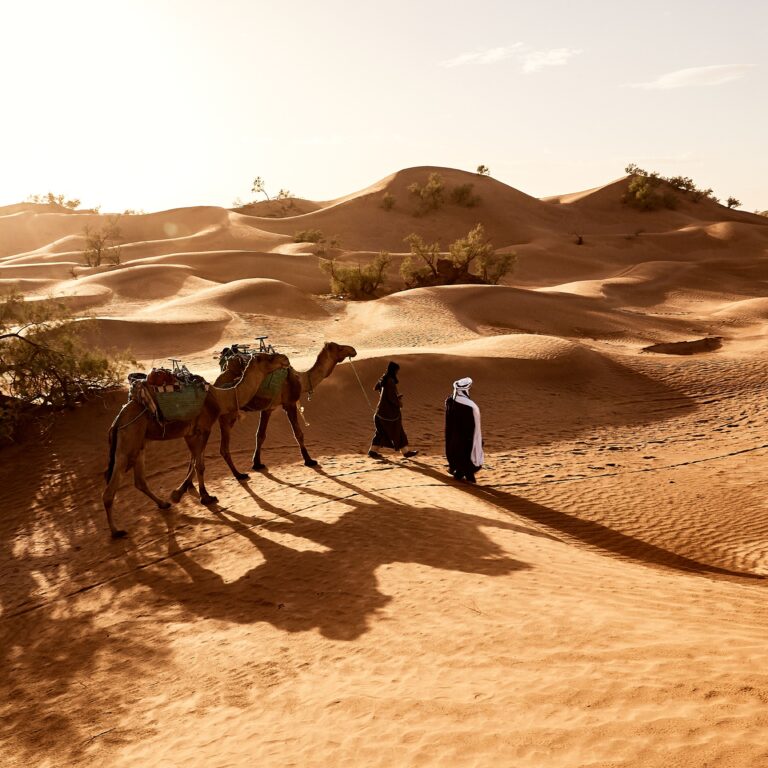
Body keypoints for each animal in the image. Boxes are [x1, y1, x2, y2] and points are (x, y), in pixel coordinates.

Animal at [103, 351, 290, 538]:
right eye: (268, 358)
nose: (285, 359)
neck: (219, 398)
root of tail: (117, 421)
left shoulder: (190, 433)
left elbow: (193, 460)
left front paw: (180, 492)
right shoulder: (203, 428)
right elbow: (200, 465)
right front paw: (205, 497)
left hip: (139, 443)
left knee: (140, 480)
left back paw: (163, 504)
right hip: (127, 442)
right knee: (110, 489)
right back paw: (116, 531)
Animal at [215, 341, 357, 477]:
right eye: (339, 348)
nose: (353, 350)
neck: (301, 380)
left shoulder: (268, 408)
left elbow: (260, 435)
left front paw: (257, 463)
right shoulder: (290, 403)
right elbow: (298, 433)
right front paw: (309, 460)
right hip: (228, 414)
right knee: (223, 447)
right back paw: (238, 475)